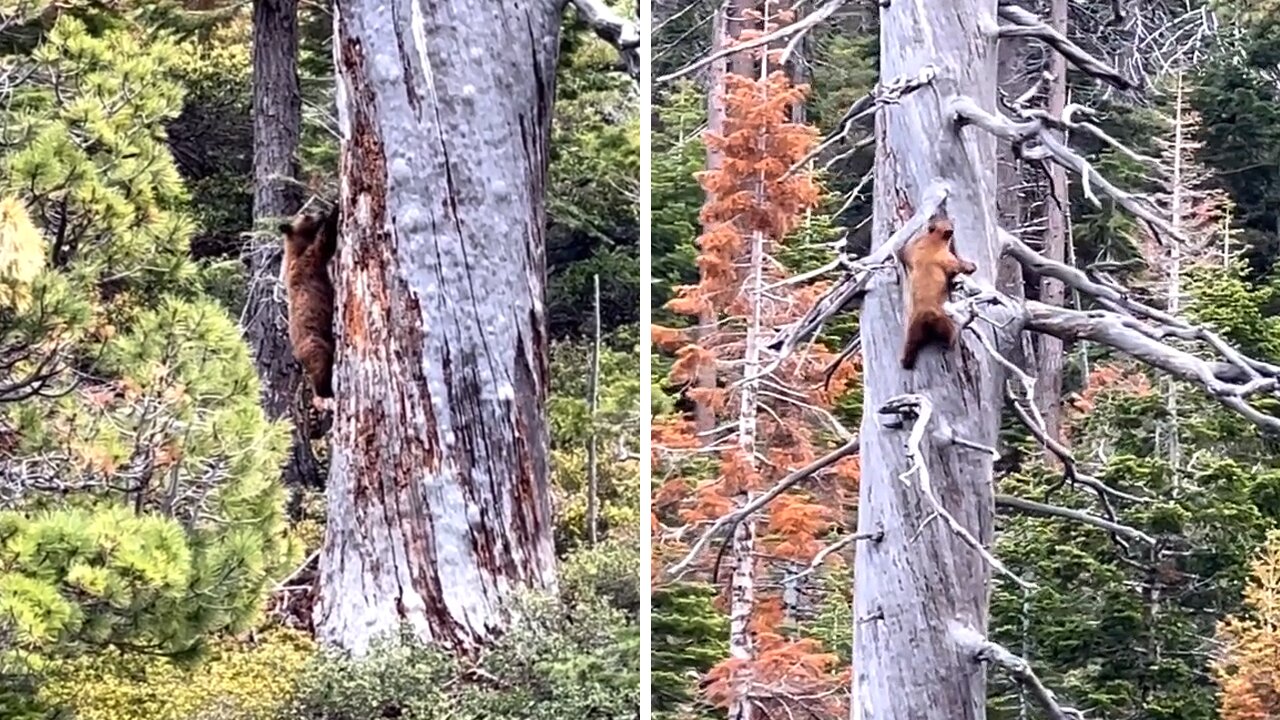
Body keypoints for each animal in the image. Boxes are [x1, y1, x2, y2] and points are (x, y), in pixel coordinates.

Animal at [279, 204, 337, 399]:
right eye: (305, 214)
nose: (320, 211)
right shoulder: (307, 262)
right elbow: (325, 245)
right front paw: (335, 210)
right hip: (314, 342)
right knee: (321, 364)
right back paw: (326, 391)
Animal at [901, 213, 977, 368]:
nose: (952, 225)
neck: (932, 241)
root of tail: (926, 316)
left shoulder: (915, 246)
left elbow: (905, 251)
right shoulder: (944, 256)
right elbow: (956, 266)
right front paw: (970, 266)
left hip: (912, 326)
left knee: (911, 343)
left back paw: (906, 361)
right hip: (941, 319)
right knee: (949, 331)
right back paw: (953, 339)